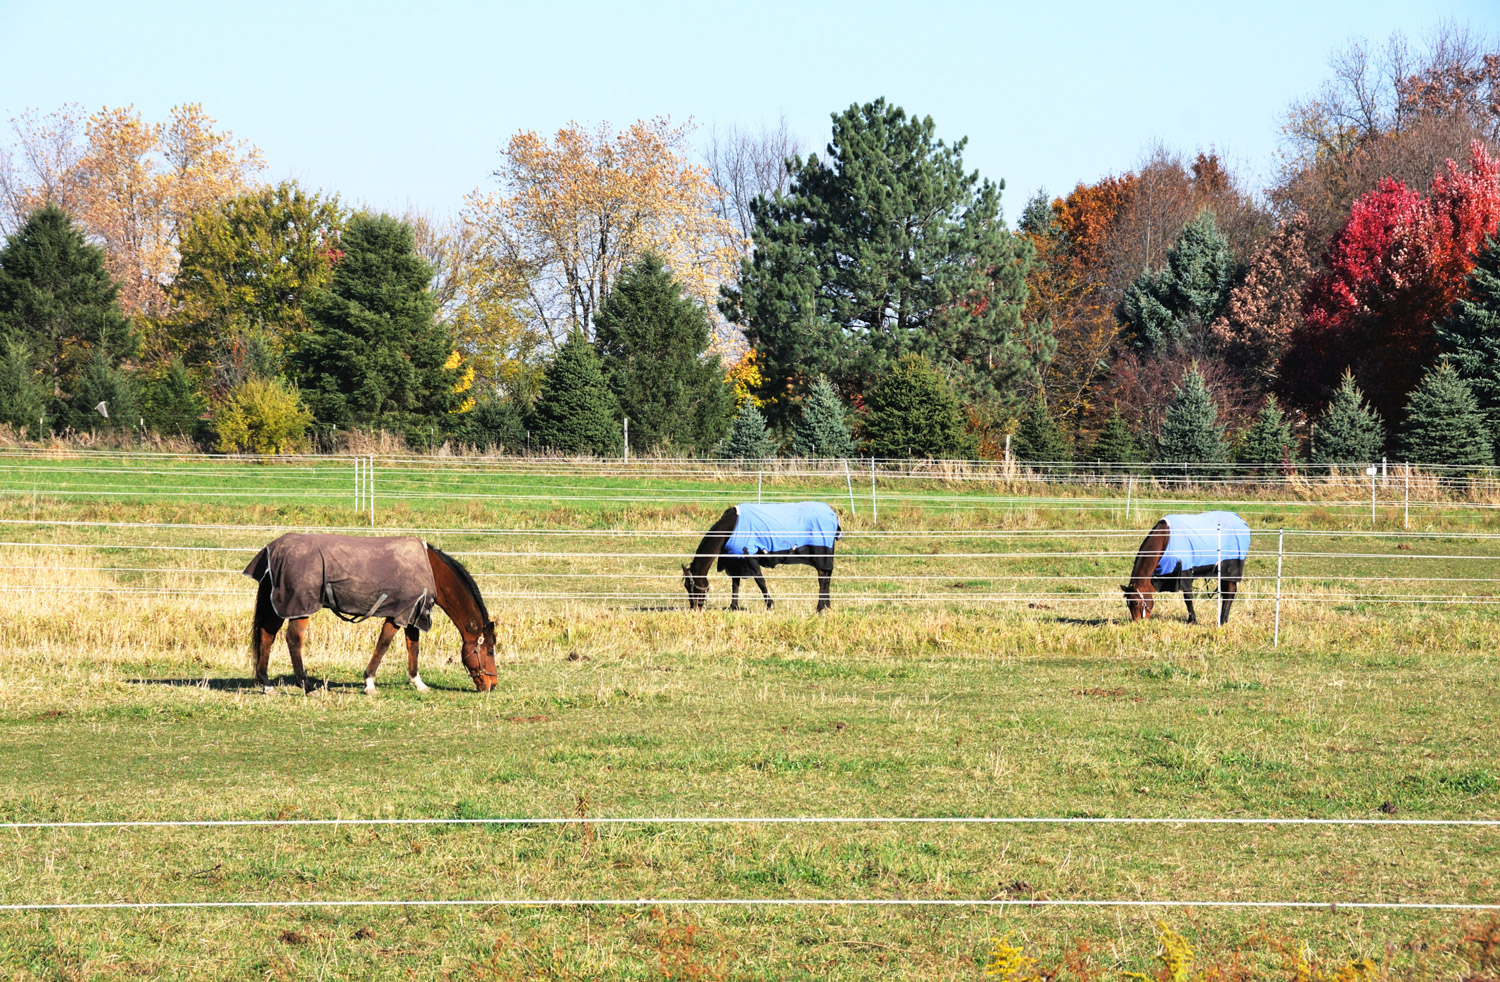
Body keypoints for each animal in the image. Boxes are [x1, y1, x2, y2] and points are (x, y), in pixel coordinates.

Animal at [243, 533, 497, 694]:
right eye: (490, 651)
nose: (492, 685)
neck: (431, 570)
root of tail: (273, 549)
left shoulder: (412, 615)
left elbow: (413, 648)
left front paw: (418, 683)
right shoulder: (398, 615)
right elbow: (383, 645)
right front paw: (369, 683)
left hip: (279, 606)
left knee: (267, 636)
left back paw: (266, 684)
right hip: (299, 607)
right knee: (293, 640)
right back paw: (306, 686)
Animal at [681, 502, 841, 612]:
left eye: (691, 586)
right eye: (686, 586)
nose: (694, 608)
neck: (731, 528)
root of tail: (832, 514)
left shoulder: (750, 558)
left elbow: (760, 582)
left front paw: (770, 605)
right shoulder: (736, 560)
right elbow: (735, 584)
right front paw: (733, 606)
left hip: (821, 554)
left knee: (823, 579)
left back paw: (820, 607)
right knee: (826, 578)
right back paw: (827, 606)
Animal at [1122, 511, 1250, 625]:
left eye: (1136, 603)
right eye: (1128, 604)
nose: (1137, 623)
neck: (1165, 539)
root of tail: (1241, 521)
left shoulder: (1185, 574)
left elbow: (1188, 598)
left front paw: (1192, 621)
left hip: (1230, 569)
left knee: (1230, 593)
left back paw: (1222, 621)